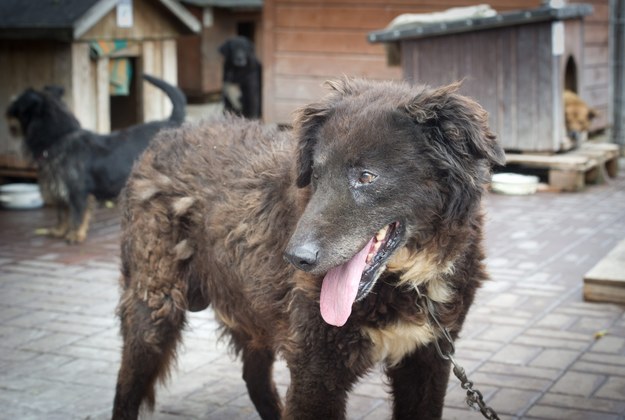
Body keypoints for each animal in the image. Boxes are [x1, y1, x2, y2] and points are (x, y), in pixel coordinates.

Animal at [5, 74, 185, 243]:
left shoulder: (77, 192)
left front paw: (75, 235)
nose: (7, 108)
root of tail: (172, 122)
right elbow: (62, 213)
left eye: (15, 104)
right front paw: (59, 231)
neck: (60, 136)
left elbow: (77, 216)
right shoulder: (60, 190)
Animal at [111, 79, 502, 420]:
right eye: (315, 173)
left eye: (366, 177)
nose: (296, 258)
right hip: (154, 310)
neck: (407, 281)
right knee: (125, 390)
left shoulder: (427, 362)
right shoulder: (316, 371)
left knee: (255, 379)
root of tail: (169, 133)